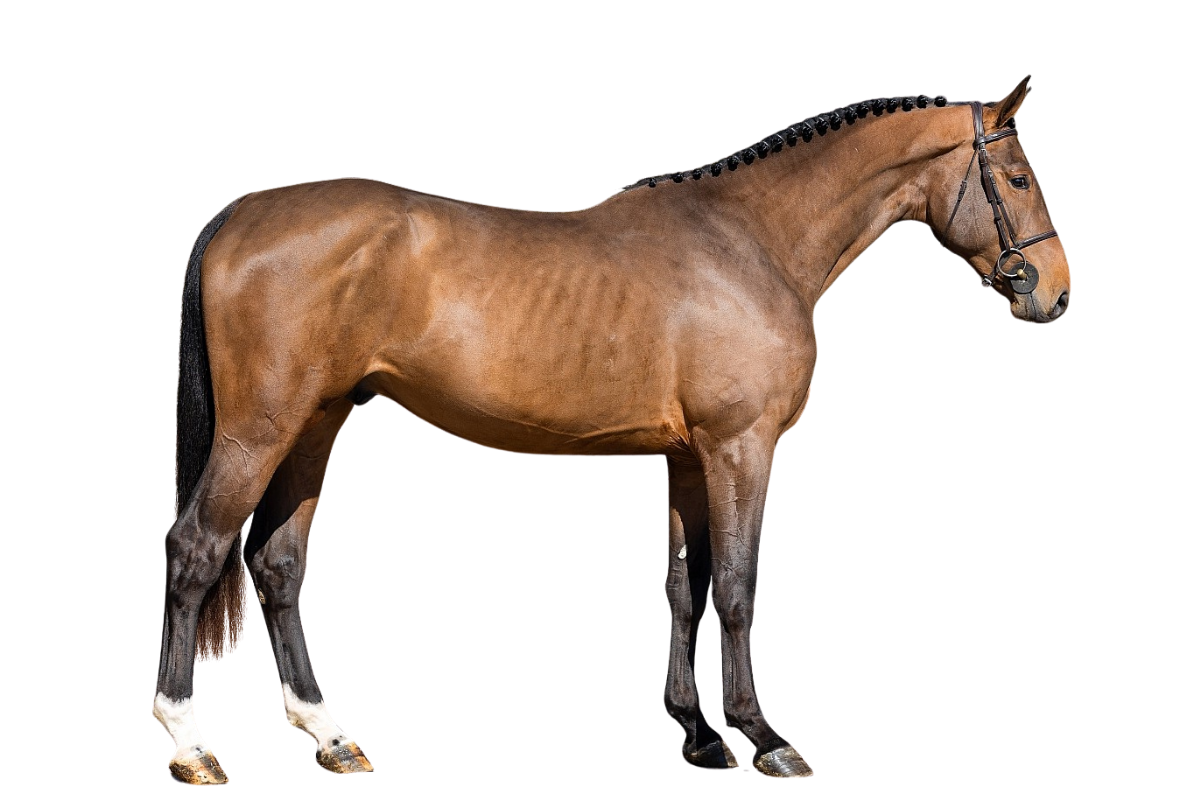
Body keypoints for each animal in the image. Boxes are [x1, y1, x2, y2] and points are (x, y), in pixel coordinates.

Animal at [154, 76, 1070, 784]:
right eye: (1019, 177)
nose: (1055, 294)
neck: (748, 242)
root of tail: (245, 211)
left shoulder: (688, 459)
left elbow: (682, 588)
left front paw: (699, 739)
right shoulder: (742, 448)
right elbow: (735, 589)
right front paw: (764, 739)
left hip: (315, 425)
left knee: (279, 567)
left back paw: (331, 736)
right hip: (257, 431)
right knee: (196, 551)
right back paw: (191, 746)